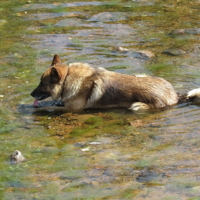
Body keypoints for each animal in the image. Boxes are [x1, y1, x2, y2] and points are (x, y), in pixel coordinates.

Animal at [30, 54, 200, 111]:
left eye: (43, 84)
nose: (31, 94)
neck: (67, 78)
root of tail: (175, 95)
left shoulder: (74, 109)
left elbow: (51, 108)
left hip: (136, 106)